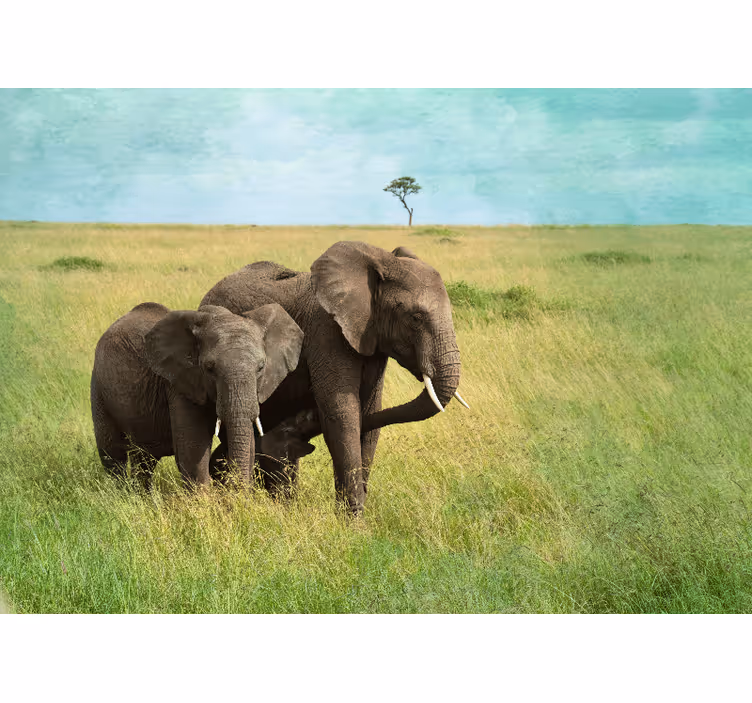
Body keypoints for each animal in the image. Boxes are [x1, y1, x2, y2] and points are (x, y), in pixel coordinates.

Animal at [90, 301, 303, 489]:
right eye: (209, 368)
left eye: (261, 367)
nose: (241, 493)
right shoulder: (179, 382)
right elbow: (193, 447)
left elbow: (245, 440)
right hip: (98, 387)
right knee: (112, 452)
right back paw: (121, 493)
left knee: (143, 457)